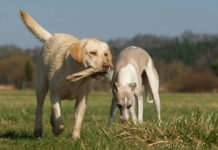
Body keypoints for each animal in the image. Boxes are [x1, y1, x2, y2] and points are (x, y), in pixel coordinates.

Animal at [20, 10, 114, 139]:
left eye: (105, 54)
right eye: (92, 53)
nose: (106, 65)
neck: (75, 74)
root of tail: (51, 36)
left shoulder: (82, 100)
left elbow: (78, 121)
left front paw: (75, 137)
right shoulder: (55, 95)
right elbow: (60, 121)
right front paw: (57, 130)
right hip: (41, 85)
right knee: (39, 108)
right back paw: (38, 130)